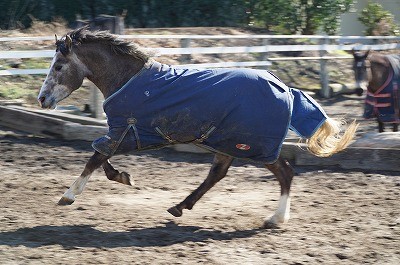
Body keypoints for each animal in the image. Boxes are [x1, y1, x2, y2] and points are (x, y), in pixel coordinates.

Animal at [36, 27, 356, 228]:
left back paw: (275, 219)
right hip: (228, 141)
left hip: (255, 145)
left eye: (59, 67)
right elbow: (101, 159)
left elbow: (95, 158)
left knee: (284, 173)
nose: (42, 99)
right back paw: (179, 206)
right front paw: (125, 177)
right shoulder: (125, 133)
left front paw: (68, 196)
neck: (128, 79)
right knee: (218, 174)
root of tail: (286, 88)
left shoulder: (125, 132)